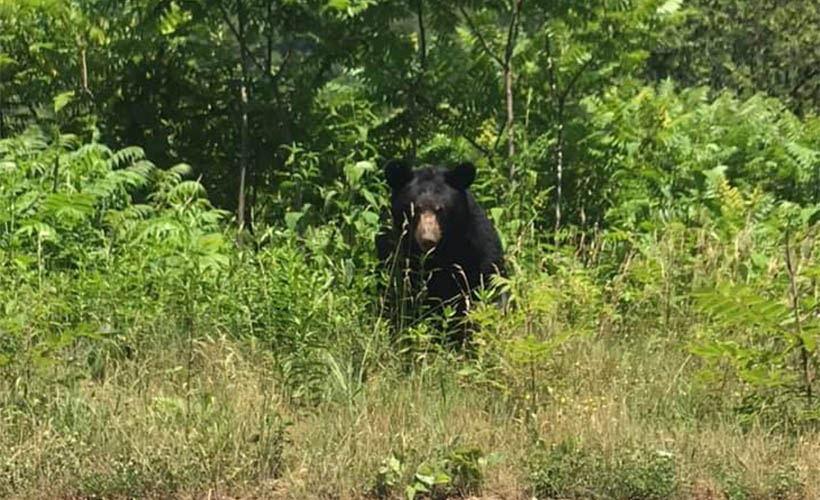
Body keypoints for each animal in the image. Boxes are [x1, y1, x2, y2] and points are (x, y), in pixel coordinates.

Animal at [378, 160, 506, 340]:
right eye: (415, 208)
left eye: (441, 209)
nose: (428, 239)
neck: (442, 252)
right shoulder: (401, 256)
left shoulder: (479, 245)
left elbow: (491, 285)